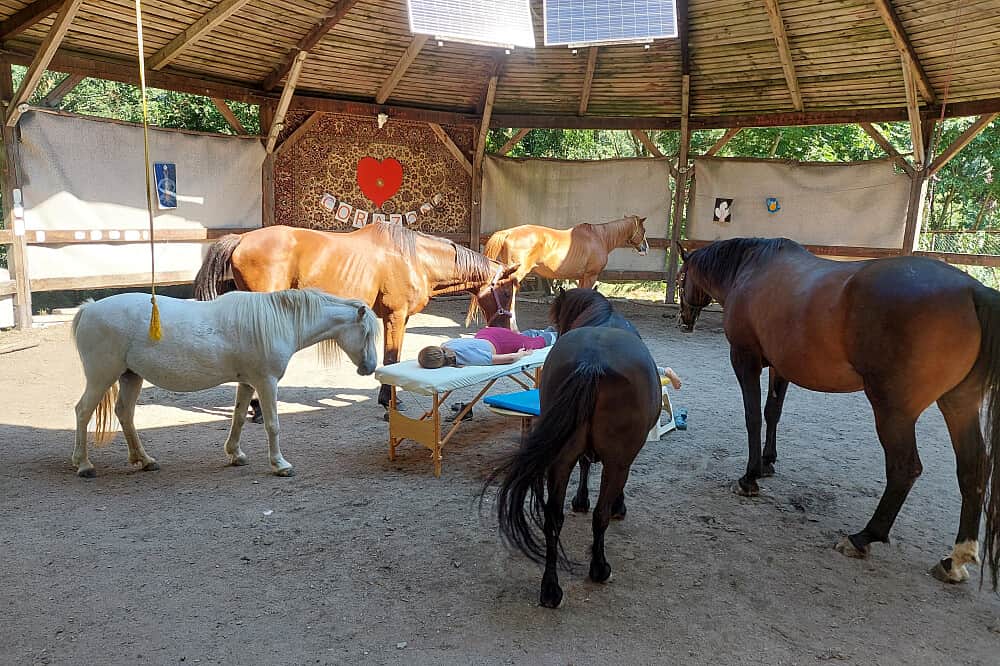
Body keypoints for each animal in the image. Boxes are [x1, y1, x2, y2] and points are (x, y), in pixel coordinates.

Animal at [71, 289, 379, 478]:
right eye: (366, 333)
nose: (370, 367)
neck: (279, 321)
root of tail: (89, 310)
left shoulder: (248, 383)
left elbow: (239, 417)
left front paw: (235, 454)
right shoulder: (266, 382)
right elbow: (272, 425)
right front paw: (280, 465)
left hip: (130, 376)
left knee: (125, 413)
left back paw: (145, 460)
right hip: (101, 377)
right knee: (83, 411)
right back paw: (84, 464)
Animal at [194, 223, 517, 410]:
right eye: (506, 290)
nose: (506, 328)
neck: (415, 258)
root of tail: (241, 238)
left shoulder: (400, 318)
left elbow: (393, 356)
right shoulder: (395, 316)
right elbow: (391, 357)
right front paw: (389, 403)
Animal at [483, 215, 649, 329]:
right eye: (643, 230)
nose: (645, 248)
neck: (599, 237)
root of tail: (507, 233)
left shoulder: (582, 277)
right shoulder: (591, 276)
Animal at [486, 288, 661, 607]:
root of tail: (591, 363)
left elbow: (585, 463)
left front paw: (580, 500)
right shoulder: (623, 459)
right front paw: (616, 505)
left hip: (559, 459)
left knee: (553, 519)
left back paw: (550, 589)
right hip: (616, 462)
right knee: (600, 515)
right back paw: (599, 568)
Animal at [676, 237, 1000, 589]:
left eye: (680, 278)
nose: (683, 321)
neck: (750, 270)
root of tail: (972, 291)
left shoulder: (744, 359)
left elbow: (753, 418)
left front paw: (748, 478)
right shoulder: (780, 367)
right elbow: (772, 412)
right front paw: (766, 463)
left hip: (893, 412)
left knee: (905, 468)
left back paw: (863, 537)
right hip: (958, 405)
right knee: (973, 469)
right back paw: (955, 559)